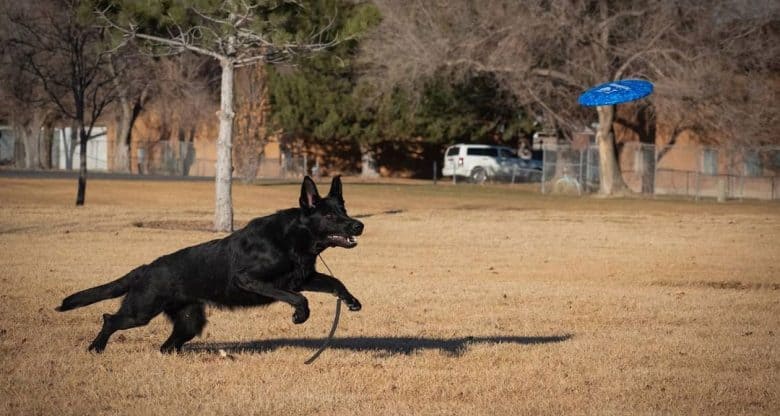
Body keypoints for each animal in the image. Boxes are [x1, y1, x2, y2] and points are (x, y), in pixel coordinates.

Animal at [56, 176, 364, 354]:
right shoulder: (252, 280)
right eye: (329, 216)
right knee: (110, 319)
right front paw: (301, 315)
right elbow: (298, 298)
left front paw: (351, 301)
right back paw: (96, 348)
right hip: (139, 312)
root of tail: (144, 269)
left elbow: (335, 282)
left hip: (189, 323)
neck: (294, 237)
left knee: (167, 346)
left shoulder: (303, 278)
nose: (359, 226)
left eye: (344, 210)